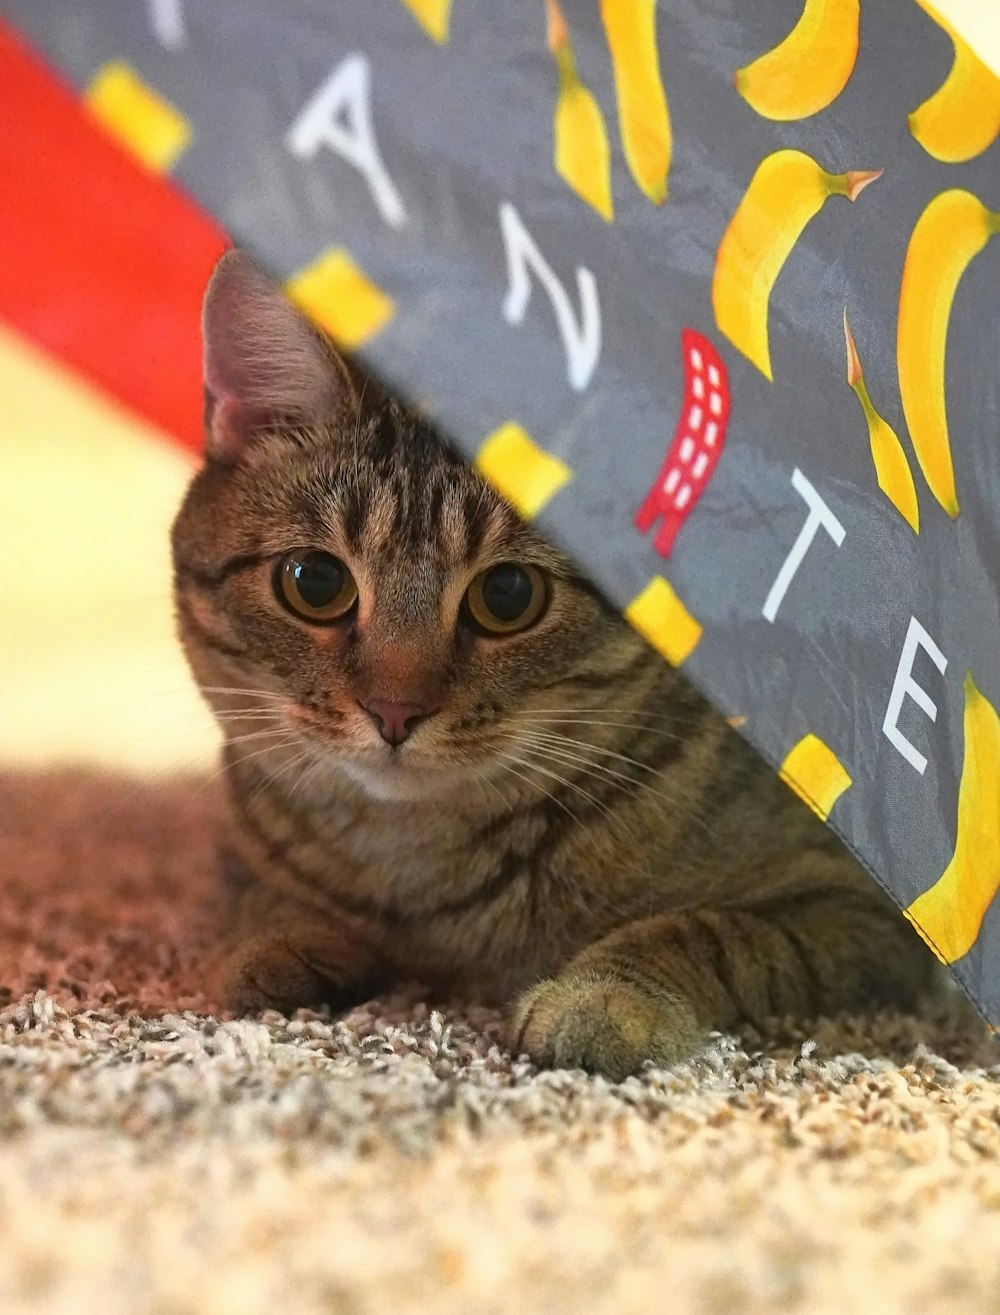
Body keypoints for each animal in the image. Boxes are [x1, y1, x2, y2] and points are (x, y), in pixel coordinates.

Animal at [169, 247, 931, 1078]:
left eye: (507, 594)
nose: (395, 711)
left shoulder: (858, 911)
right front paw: (282, 937)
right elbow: (259, 890)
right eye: (314, 582)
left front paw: (605, 996)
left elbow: (712, 932)